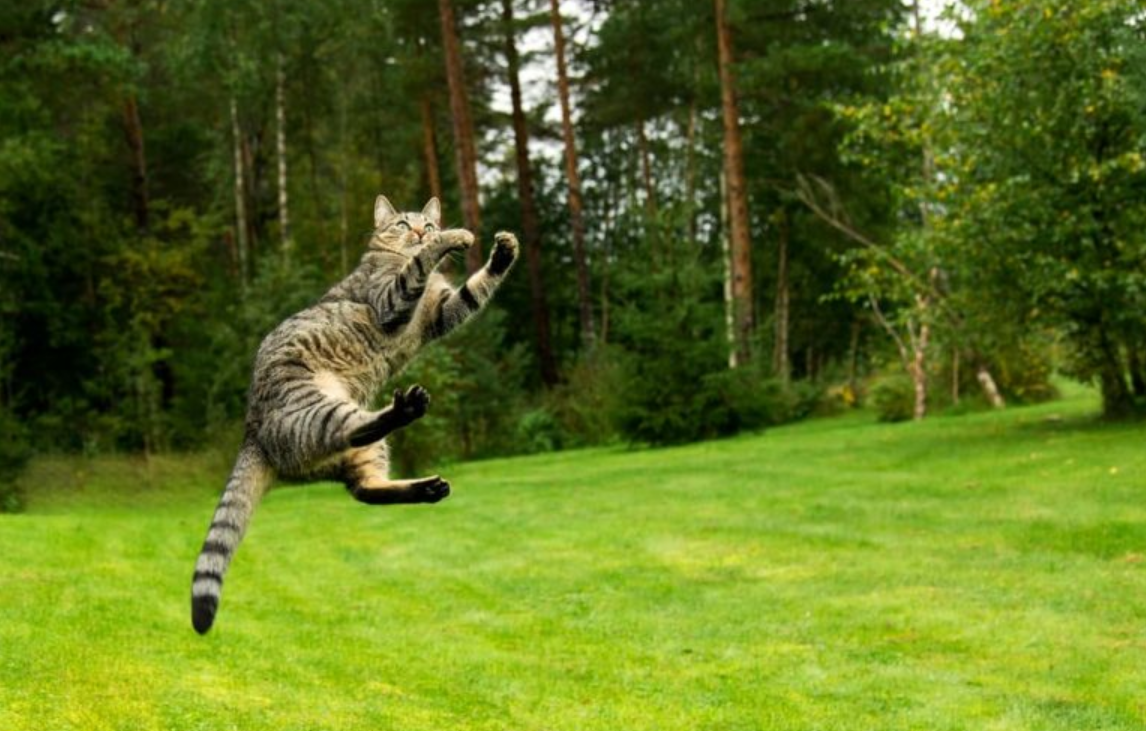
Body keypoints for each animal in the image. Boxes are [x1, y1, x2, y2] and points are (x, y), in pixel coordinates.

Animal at [189, 195, 520, 637]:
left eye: (427, 223)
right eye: (403, 224)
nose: (422, 231)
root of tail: (251, 430)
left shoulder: (442, 311)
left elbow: (475, 288)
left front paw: (503, 253)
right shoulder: (392, 301)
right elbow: (418, 264)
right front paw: (452, 239)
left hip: (361, 451)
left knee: (364, 488)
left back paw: (424, 487)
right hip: (324, 408)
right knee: (358, 431)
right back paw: (405, 409)